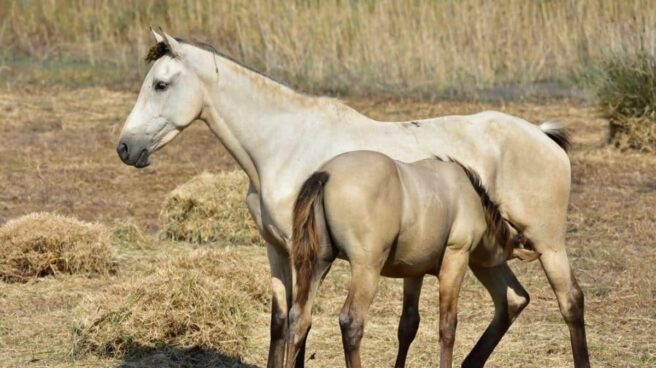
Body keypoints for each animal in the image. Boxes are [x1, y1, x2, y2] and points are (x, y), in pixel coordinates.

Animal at [284, 151, 536, 366]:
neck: (469, 195)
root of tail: (325, 174)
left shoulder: (414, 272)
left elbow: (408, 325)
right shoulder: (456, 258)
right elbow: (448, 326)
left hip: (319, 264)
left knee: (299, 318)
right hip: (367, 268)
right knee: (351, 321)